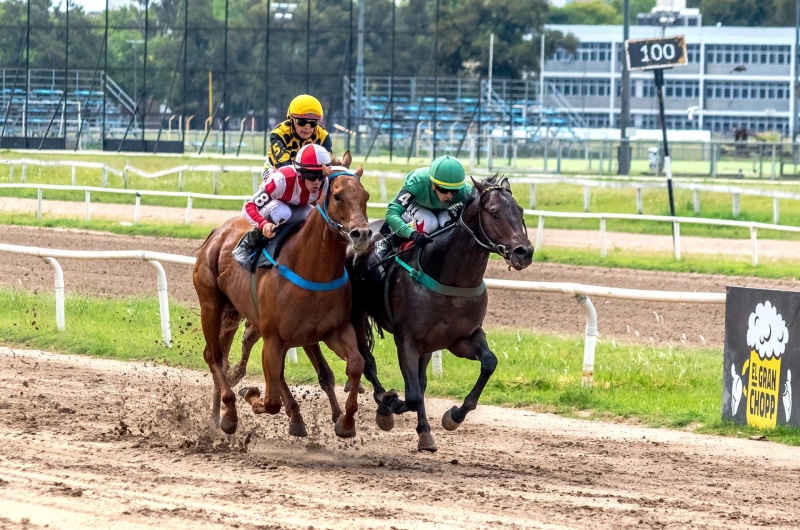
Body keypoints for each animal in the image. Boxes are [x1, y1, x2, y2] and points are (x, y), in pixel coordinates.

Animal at [192, 158, 370, 438]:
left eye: (366, 196)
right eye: (338, 195)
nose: (361, 234)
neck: (312, 268)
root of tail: (217, 232)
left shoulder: (333, 330)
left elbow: (354, 364)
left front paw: (345, 421)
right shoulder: (274, 338)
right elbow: (271, 400)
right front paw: (249, 393)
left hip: (233, 311)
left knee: (223, 355)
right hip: (211, 303)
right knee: (214, 356)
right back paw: (227, 415)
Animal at [348, 174, 532, 450]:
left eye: (520, 211)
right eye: (494, 213)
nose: (525, 252)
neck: (452, 279)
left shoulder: (462, 338)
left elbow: (489, 363)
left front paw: (454, 416)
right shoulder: (407, 340)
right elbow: (412, 396)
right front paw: (389, 405)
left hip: (428, 344)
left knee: (419, 380)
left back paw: (422, 429)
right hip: (357, 315)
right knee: (368, 363)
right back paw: (384, 403)